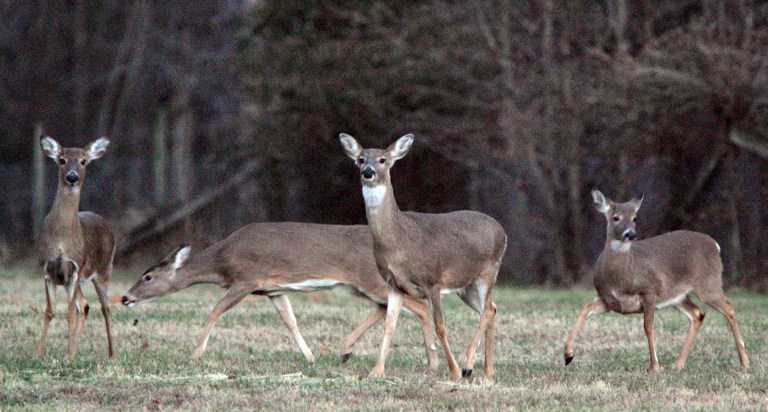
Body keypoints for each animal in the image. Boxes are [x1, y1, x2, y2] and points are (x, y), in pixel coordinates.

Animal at [37, 136, 115, 358]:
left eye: (83, 161)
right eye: (62, 160)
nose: (72, 177)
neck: (62, 240)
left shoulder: (75, 267)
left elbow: (70, 312)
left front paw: (69, 353)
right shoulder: (48, 269)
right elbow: (50, 311)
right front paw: (40, 353)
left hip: (104, 269)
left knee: (105, 307)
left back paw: (111, 353)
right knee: (85, 305)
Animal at [121, 222, 439, 367]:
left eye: (147, 277)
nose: (125, 298)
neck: (222, 262)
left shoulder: (246, 279)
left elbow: (215, 310)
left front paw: (196, 354)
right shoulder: (273, 289)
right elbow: (290, 321)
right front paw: (310, 357)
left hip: (371, 279)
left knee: (419, 305)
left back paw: (433, 360)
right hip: (363, 286)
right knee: (386, 307)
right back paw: (346, 349)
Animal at [339, 133, 507, 379]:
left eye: (382, 159)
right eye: (360, 159)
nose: (368, 171)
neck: (399, 242)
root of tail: (502, 231)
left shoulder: (433, 281)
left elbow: (440, 325)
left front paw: (454, 370)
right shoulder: (394, 284)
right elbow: (390, 324)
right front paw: (377, 370)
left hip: (488, 271)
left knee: (486, 310)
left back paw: (467, 365)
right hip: (465, 286)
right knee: (492, 309)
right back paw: (488, 370)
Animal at [563, 189, 750, 371]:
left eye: (634, 217)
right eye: (615, 217)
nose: (631, 234)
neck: (623, 277)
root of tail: (715, 245)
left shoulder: (649, 290)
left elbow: (648, 326)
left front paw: (655, 366)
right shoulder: (609, 300)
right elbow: (585, 308)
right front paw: (568, 355)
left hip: (708, 284)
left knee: (729, 307)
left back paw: (744, 362)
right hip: (679, 296)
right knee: (698, 314)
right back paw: (678, 364)